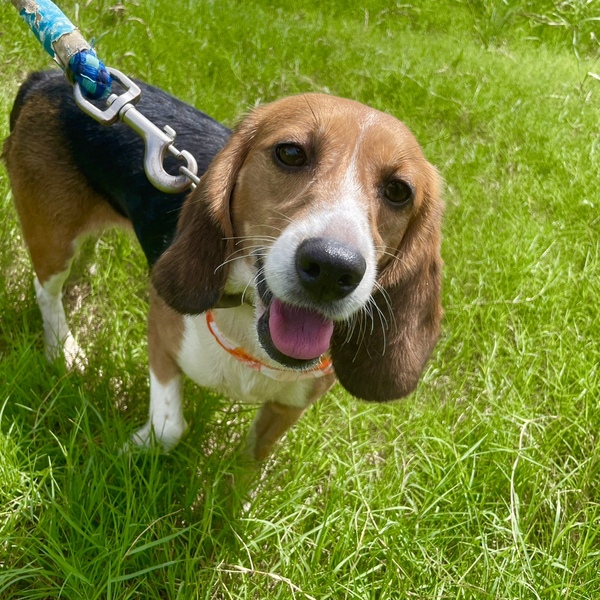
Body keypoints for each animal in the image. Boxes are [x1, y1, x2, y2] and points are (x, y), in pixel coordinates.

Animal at [3, 70, 443, 461]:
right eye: (290, 153)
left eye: (398, 191)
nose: (333, 267)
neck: (250, 326)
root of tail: (49, 78)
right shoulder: (161, 330)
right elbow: (169, 427)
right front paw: (125, 452)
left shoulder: (286, 410)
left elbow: (248, 464)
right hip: (53, 236)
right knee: (46, 289)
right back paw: (63, 347)